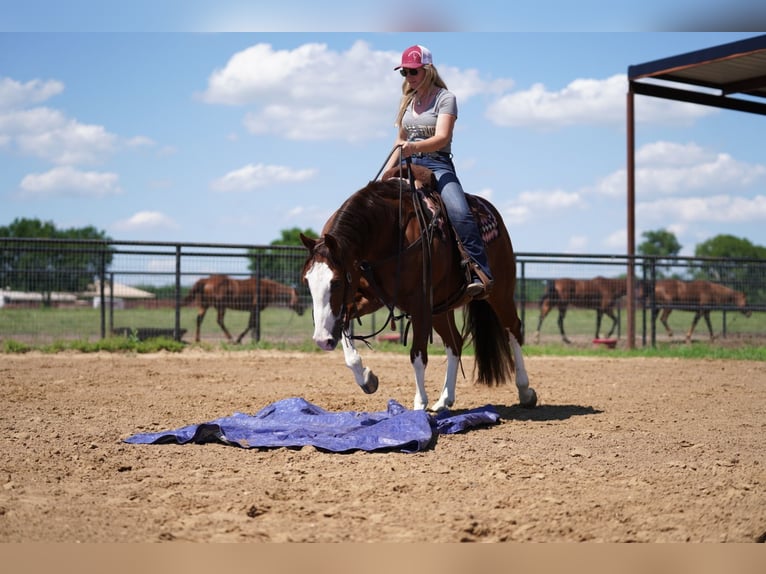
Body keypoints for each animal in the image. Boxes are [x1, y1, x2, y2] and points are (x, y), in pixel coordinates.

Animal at [296, 165, 536, 414]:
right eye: (306, 281)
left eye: (336, 282)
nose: (322, 340)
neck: (389, 231)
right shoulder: (368, 299)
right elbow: (346, 335)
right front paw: (368, 379)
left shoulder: (419, 302)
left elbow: (417, 355)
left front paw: (419, 405)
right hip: (440, 308)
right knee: (455, 342)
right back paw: (444, 400)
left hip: (500, 293)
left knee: (513, 329)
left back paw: (525, 391)